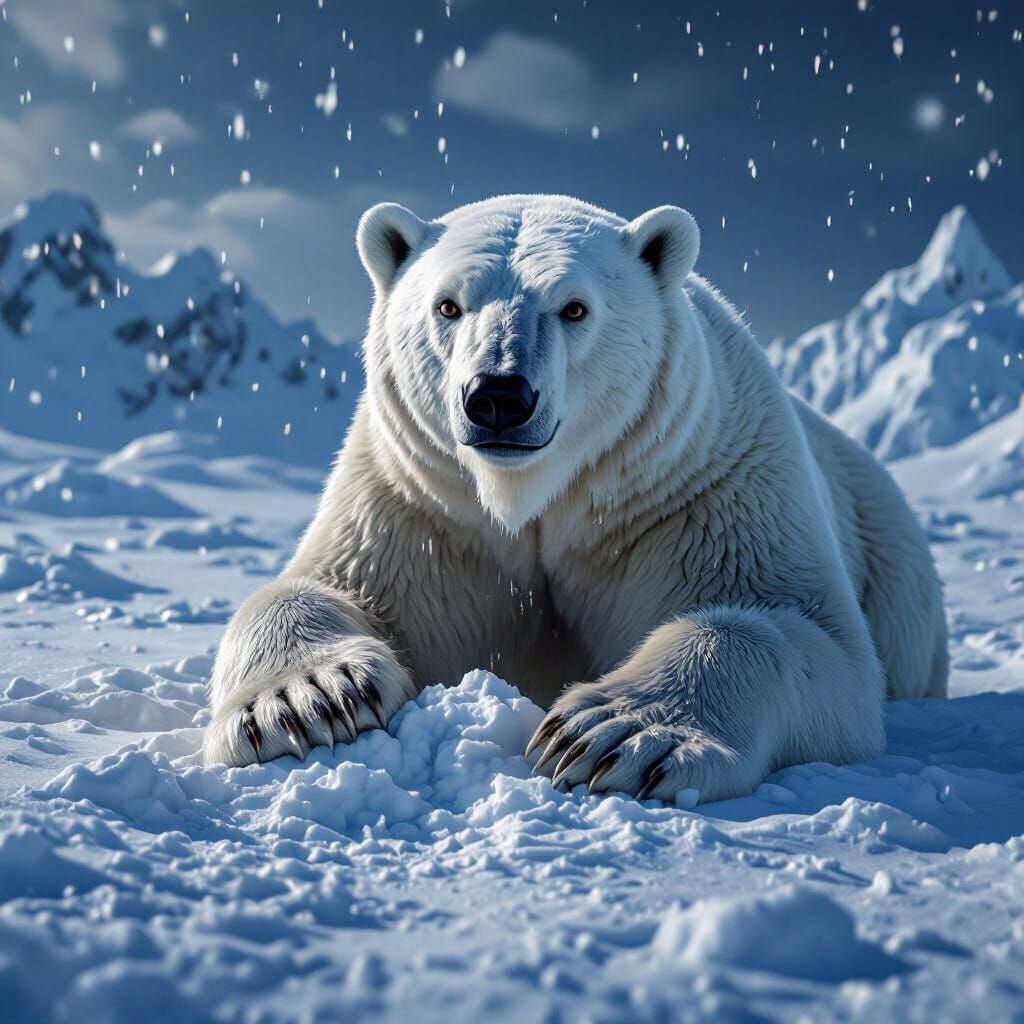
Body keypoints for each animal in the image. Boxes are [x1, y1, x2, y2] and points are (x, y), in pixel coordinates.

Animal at [202, 194, 948, 803]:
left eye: (574, 307)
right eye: (448, 305)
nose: (499, 396)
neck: (532, 499)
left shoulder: (701, 487)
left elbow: (802, 630)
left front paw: (614, 734)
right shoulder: (422, 506)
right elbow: (325, 585)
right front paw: (307, 699)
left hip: (894, 565)